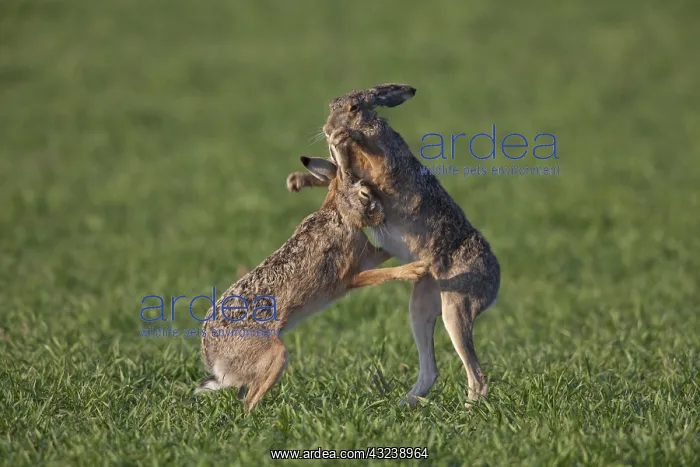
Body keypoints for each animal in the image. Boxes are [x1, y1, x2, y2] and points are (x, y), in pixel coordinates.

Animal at [197, 154, 430, 414]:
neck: (340, 215)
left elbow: (386, 252)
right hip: (275, 356)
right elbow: (381, 273)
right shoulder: (348, 277)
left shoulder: (369, 255)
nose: (383, 217)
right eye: (364, 194)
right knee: (250, 400)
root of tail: (214, 360)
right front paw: (417, 268)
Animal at [285, 84, 501, 409]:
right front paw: (296, 180)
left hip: (457, 305)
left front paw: (347, 139)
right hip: (421, 305)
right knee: (431, 370)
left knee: (476, 376)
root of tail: (495, 282)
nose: (328, 129)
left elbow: (374, 164)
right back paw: (402, 406)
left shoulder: (385, 170)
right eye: (331, 105)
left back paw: (466, 412)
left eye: (354, 108)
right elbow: (337, 175)